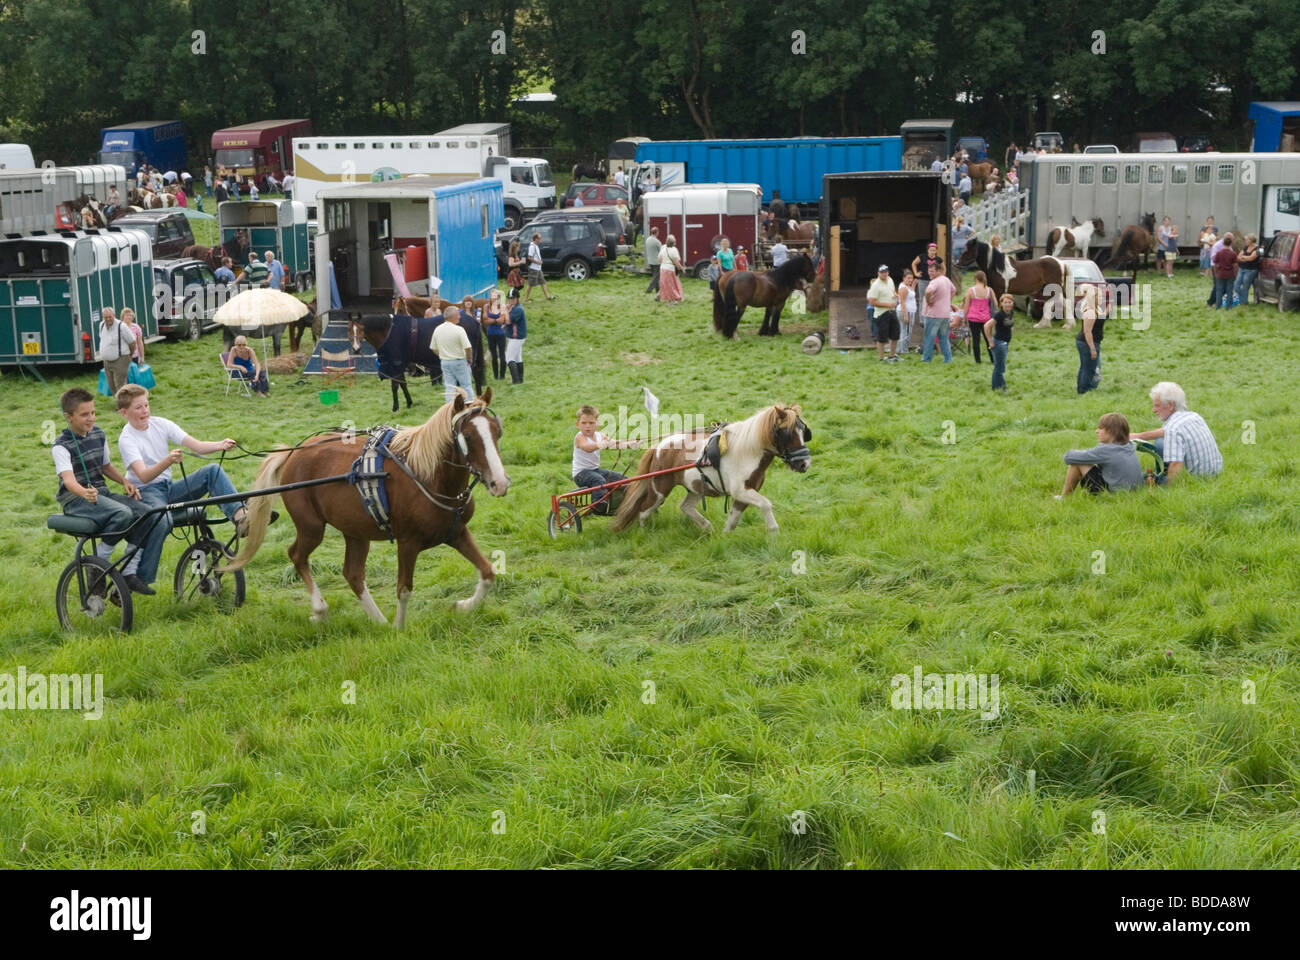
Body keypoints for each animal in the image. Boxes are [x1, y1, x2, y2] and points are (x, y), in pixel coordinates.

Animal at [220, 390, 509, 629]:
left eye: (496, 432)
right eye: (468, 436)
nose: (500, 482)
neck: (426, 475)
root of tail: (294, 453)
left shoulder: (456, 532)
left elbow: (488, 572)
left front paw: (464, 606)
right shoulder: (408, 542)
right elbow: (404, 588)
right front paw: (399, 629)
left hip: (356, 531)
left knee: (353, 574)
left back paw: (378, 620)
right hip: (311, 527)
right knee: (297, 556)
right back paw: (320, 609)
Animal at [611, 403, 811, 535]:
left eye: (805, 432)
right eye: (787, 433)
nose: (804, 464)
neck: (747, 451)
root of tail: (658, 447)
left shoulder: (744, 493)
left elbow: (734, 518)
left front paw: (725, 536)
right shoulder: (741, 491)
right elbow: (766, 504)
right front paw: (773, 531)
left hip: (695, 487)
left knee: (685, 507)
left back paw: (706, 527)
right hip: (659, 490)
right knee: (644, 511)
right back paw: (644, 533)